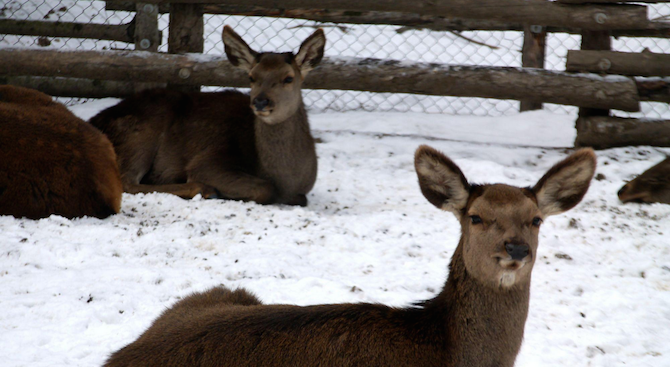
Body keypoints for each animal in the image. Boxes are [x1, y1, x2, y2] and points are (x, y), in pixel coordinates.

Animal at [88, 26, 326, 207]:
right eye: (251, 77)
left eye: (288, 78)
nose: (260, 102)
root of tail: (94, 122)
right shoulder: (209, 161)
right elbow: (265, 189)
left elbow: (301, 198)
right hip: (140, 135)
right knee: (126, 182)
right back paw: (204, 190)